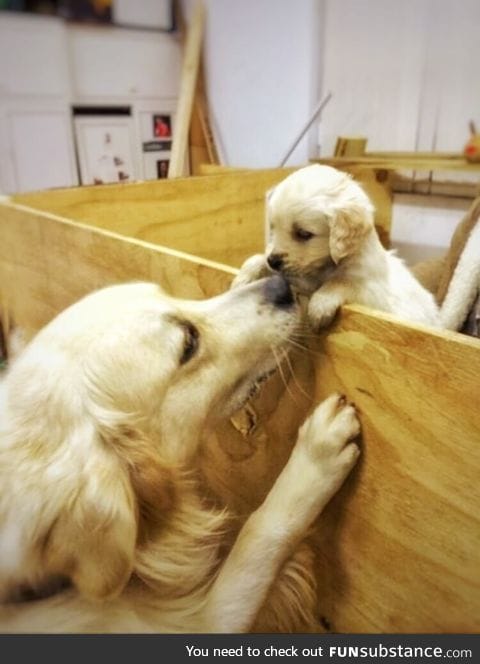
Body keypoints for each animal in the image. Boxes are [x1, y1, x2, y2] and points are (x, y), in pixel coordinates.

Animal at [0, 278, 360, 632]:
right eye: (189, 342)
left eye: (170, 295)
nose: (282, 283)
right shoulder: (204, 622)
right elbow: (258, 532)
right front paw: (316, 456)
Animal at [234, 165, 440, 328]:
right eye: (273, 228)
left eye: (303, 234)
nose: (273, 261)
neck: (325, 266)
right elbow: (257, 259)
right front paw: (242, 278)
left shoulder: (370, 291)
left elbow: (342, 281)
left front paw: (319, 306)